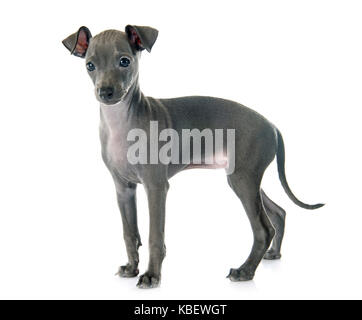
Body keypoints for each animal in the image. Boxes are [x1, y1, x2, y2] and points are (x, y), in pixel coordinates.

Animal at [63, 25, 326, 288]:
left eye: (124, 61)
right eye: (90, 65)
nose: (105, 92)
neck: (121, 123)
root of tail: (272, 125)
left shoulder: (156, 187)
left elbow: (154, 236)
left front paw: (151, 275)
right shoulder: (123, 188)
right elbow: (130, 233)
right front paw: (131, 267)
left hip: (243, 181)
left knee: (263, 229)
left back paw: (245, 271)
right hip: (246, 179)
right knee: (279, 212)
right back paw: (273, 253)